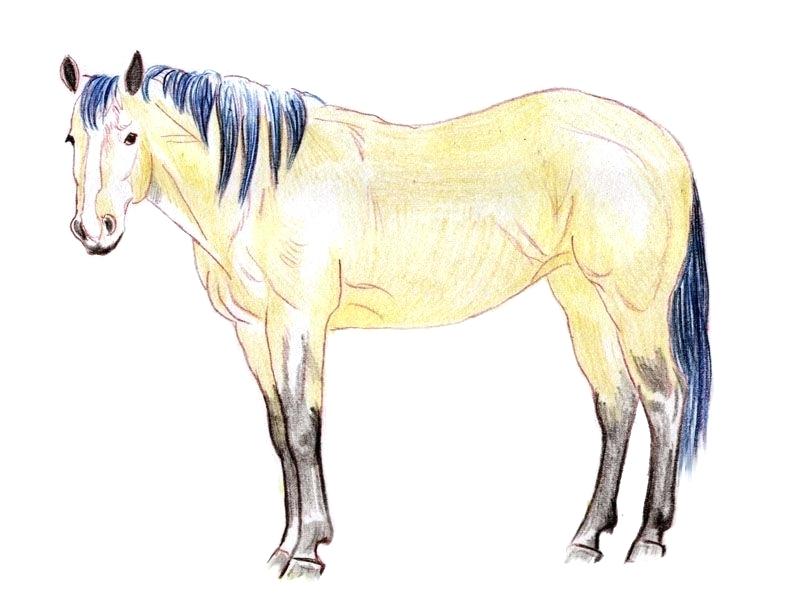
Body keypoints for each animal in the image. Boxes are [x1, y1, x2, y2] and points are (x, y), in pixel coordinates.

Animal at [59, 51, 711, 578]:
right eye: (69, 139)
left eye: (130, 137)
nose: (93, 230)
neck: (262, 185)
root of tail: (664, 145)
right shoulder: (252, 331)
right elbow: (279, 432)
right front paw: (283, 547)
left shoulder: (299, 321)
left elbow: (304, 427)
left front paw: (306, 553)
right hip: (583, 302)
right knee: (616, 404)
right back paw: (586, 540)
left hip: (634, 306)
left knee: (663, 398)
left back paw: (648, 541)